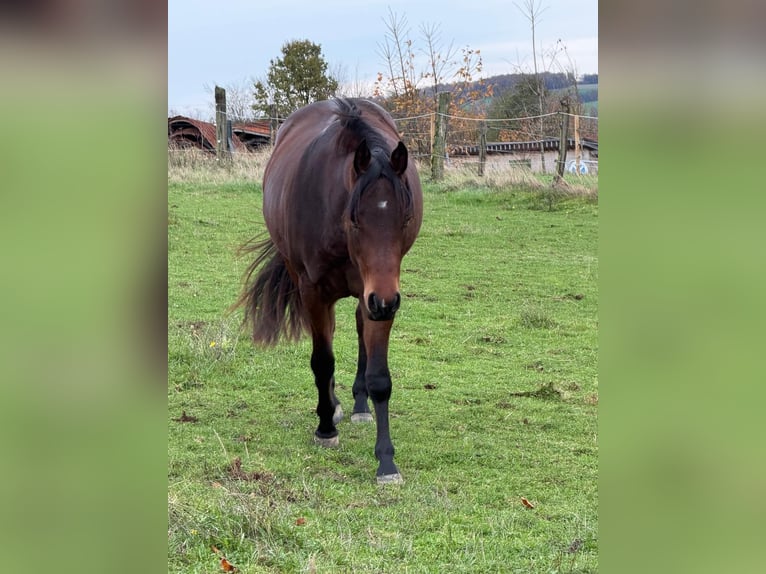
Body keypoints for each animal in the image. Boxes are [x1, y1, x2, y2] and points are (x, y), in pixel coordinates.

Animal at [234, 98, 423, 484]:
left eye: (406, 219)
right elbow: (322, 360)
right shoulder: (315, 291)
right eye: (355, 220)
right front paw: (325, 428)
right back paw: (333, 408)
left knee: (359, 328)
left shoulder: (381, 295)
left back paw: (359, 405)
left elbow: (380, 376)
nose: (384, 301)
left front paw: (386, 461)